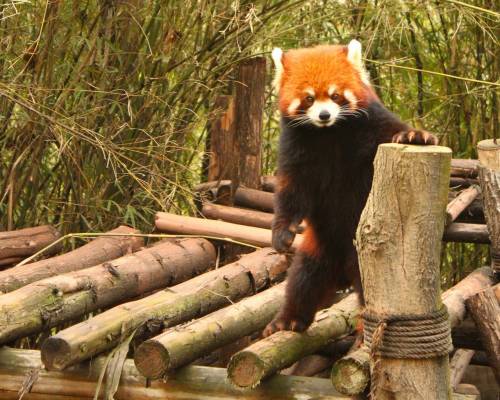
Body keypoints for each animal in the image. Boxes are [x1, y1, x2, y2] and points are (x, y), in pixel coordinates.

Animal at [264, 40, 436, 336]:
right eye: (309, 98)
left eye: (335, 96)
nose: (324, 115)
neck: (329, 133)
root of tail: (342, 270)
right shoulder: (295, 145)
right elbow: (291, 191)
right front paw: (282, 232)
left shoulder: (371, 123)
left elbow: (393, 132)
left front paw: (415, 135)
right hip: (317, 247)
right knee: (302, 280)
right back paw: (288, 319)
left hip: (365, 262)